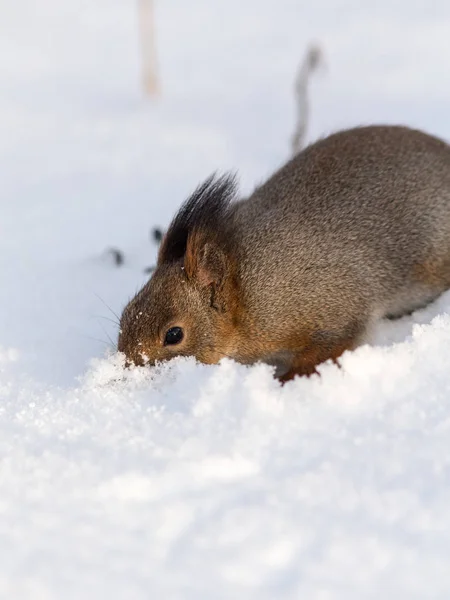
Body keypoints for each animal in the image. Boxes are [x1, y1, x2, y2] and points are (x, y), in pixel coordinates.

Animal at [118, 126, 450, 380]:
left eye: (174, 335)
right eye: (125, 314)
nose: (127, 366)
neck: (247, 293)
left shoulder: (331, 311)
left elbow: (328, 348)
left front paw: (287, 381)